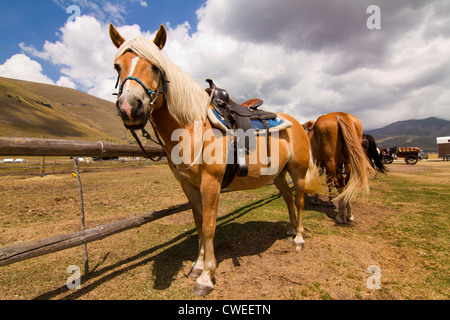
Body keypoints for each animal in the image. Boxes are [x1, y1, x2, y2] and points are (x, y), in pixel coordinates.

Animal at [108, 23, 320, 296]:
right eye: (118, 66)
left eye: (156, 66)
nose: (129, 108)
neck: (191, 126)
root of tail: (298, 124)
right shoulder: (188, 185)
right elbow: (198, 223)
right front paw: (197, 265)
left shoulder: (211, 182)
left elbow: (209, 226)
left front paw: (206, 276)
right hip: (278, 175)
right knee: (288, 198)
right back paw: (291, 230)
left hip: (298, 170)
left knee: (300, 200)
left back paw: (299, 238)